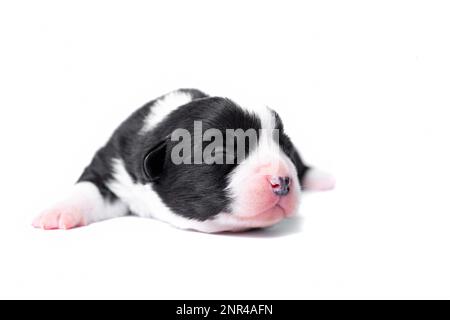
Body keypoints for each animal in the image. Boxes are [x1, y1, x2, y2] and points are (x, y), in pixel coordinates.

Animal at [32, 89, 334, 231]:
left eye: (286, 150)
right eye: (221, 152)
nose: (282, 180)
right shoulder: (113, 162)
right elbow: (88, 187)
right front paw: (56, 213)